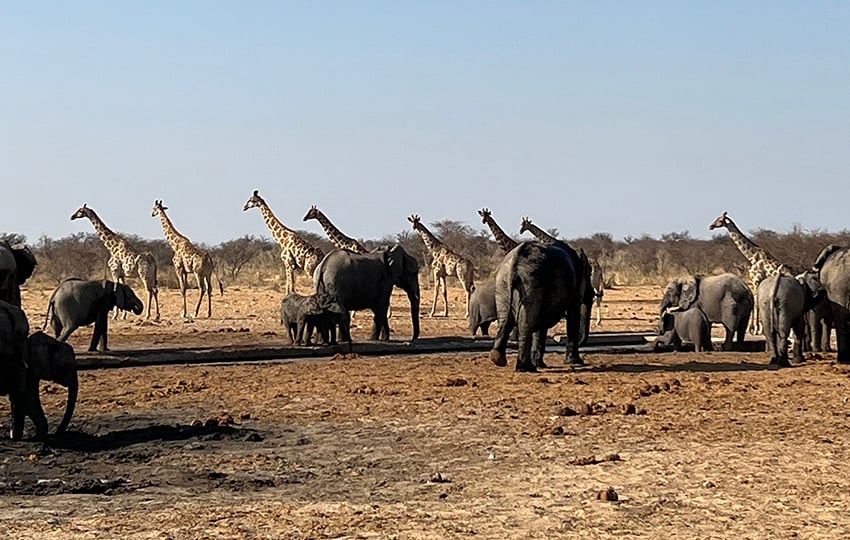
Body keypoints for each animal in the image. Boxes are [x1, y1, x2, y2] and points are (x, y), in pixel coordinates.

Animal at [0, 300, 78, 438]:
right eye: (66, 366)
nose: (57, 433)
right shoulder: (21, 362)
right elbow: (21, 399)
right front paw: (17, 437)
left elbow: (30, 402)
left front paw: (38, 435)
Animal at [486, 240, 592, 372]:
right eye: (590, 272)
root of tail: (515, 260)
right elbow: (573, 314)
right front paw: (576, 362)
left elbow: (540, 323)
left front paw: (540, 364)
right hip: (531, 281)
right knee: (527, 323)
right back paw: (526, 368)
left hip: (504, 283)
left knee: (506, 319)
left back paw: (498, 359)